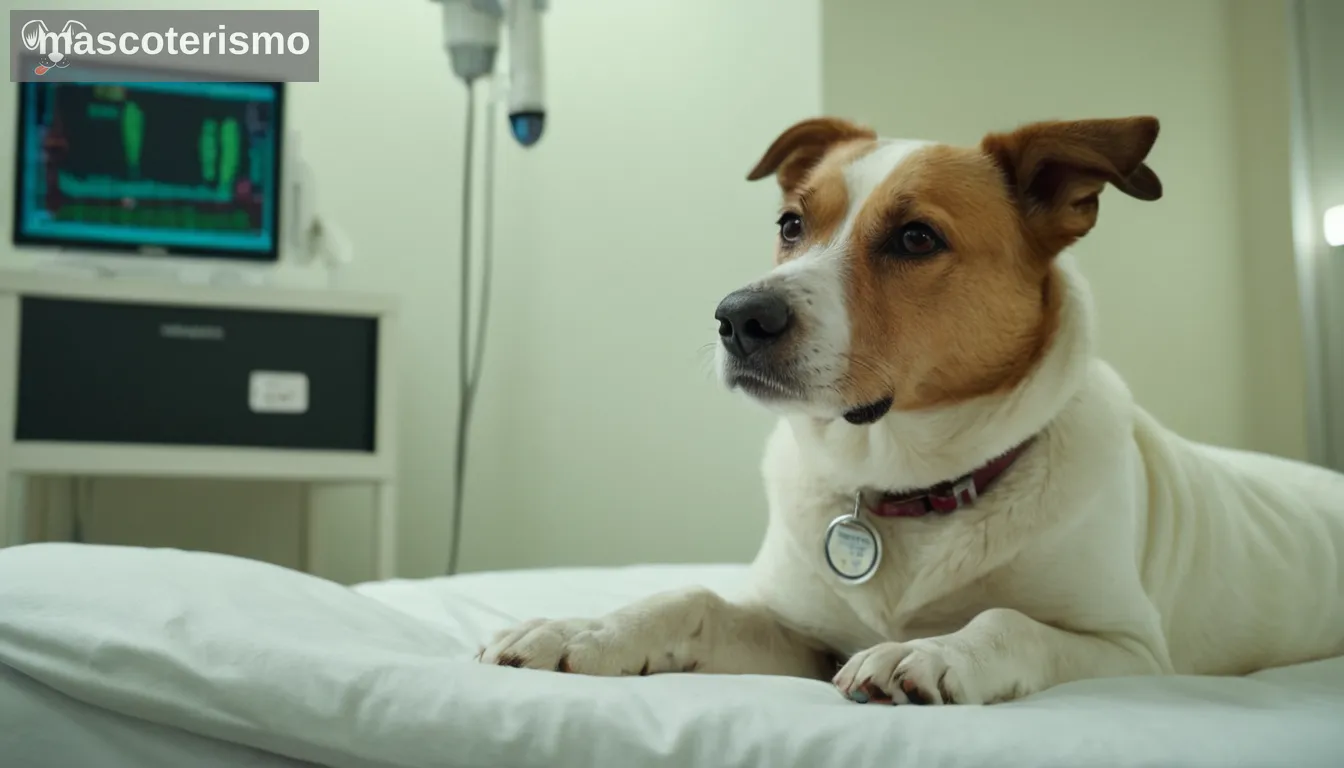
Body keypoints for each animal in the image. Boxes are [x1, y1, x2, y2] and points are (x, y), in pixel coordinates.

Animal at [483, 115, 1344, 710]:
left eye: (916, 237)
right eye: (791, 224)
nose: (738, 318)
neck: (905, 486)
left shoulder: (1130, 650)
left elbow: (1008, 620)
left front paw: (930, 652)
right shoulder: (805, 634)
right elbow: (688, 599)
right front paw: (585, 631)